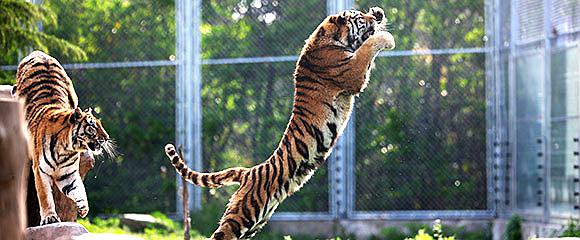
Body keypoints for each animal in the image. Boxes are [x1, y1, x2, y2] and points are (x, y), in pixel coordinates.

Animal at [165, 6, 396, 239]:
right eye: (359, 18)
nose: (374, 16)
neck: (327, 36)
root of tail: (248, 172)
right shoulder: (352, 73)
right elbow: (368, 46)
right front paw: (387, 38)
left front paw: (379, 14)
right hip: (243, 214)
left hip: (256, 222)